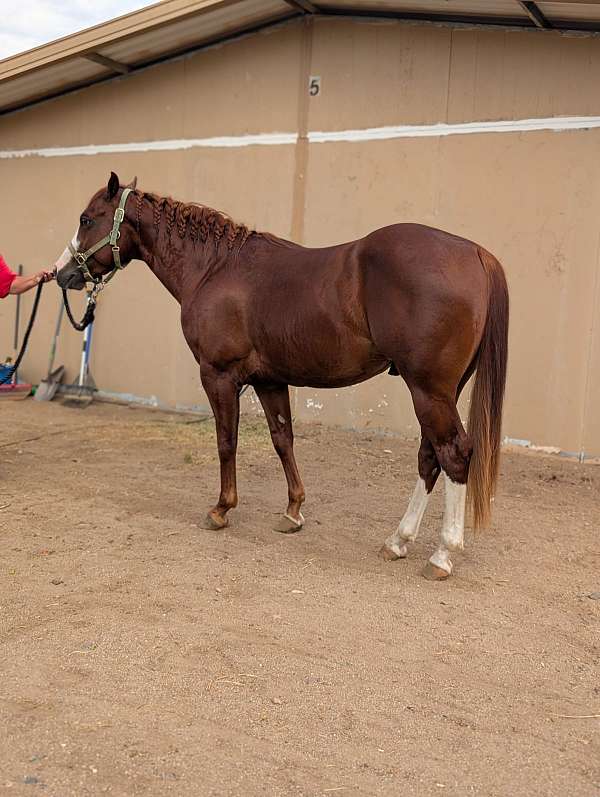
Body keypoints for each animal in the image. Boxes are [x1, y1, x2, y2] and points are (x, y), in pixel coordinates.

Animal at [56, 172, 509, 580]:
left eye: (86, 218)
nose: (63, 274)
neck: (215, 268)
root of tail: (475, 253)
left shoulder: (218, 375)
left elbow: (226, 441)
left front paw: (221, 509)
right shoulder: (269, 380)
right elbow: (282, 440)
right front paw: (293, 512)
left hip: (428, 390)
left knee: (453, 454)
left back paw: (442, 555)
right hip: (441, 391)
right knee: (430, 457)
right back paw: (398, 541)